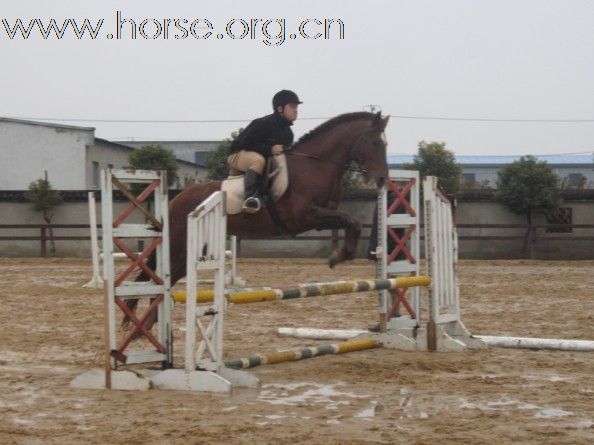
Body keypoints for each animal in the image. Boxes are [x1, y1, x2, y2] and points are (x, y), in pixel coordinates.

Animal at [125, 111, 388, 330]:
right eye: (375, 143)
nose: (383, 179)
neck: (314, 166)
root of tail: (176, 199)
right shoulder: (305, 216)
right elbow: (351, 221)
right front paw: (337, 257)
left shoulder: (319, 220)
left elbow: (352, 222)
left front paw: (341, 256)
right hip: (180, 245)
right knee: (157, 276)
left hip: (192, 250)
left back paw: (146, 325)